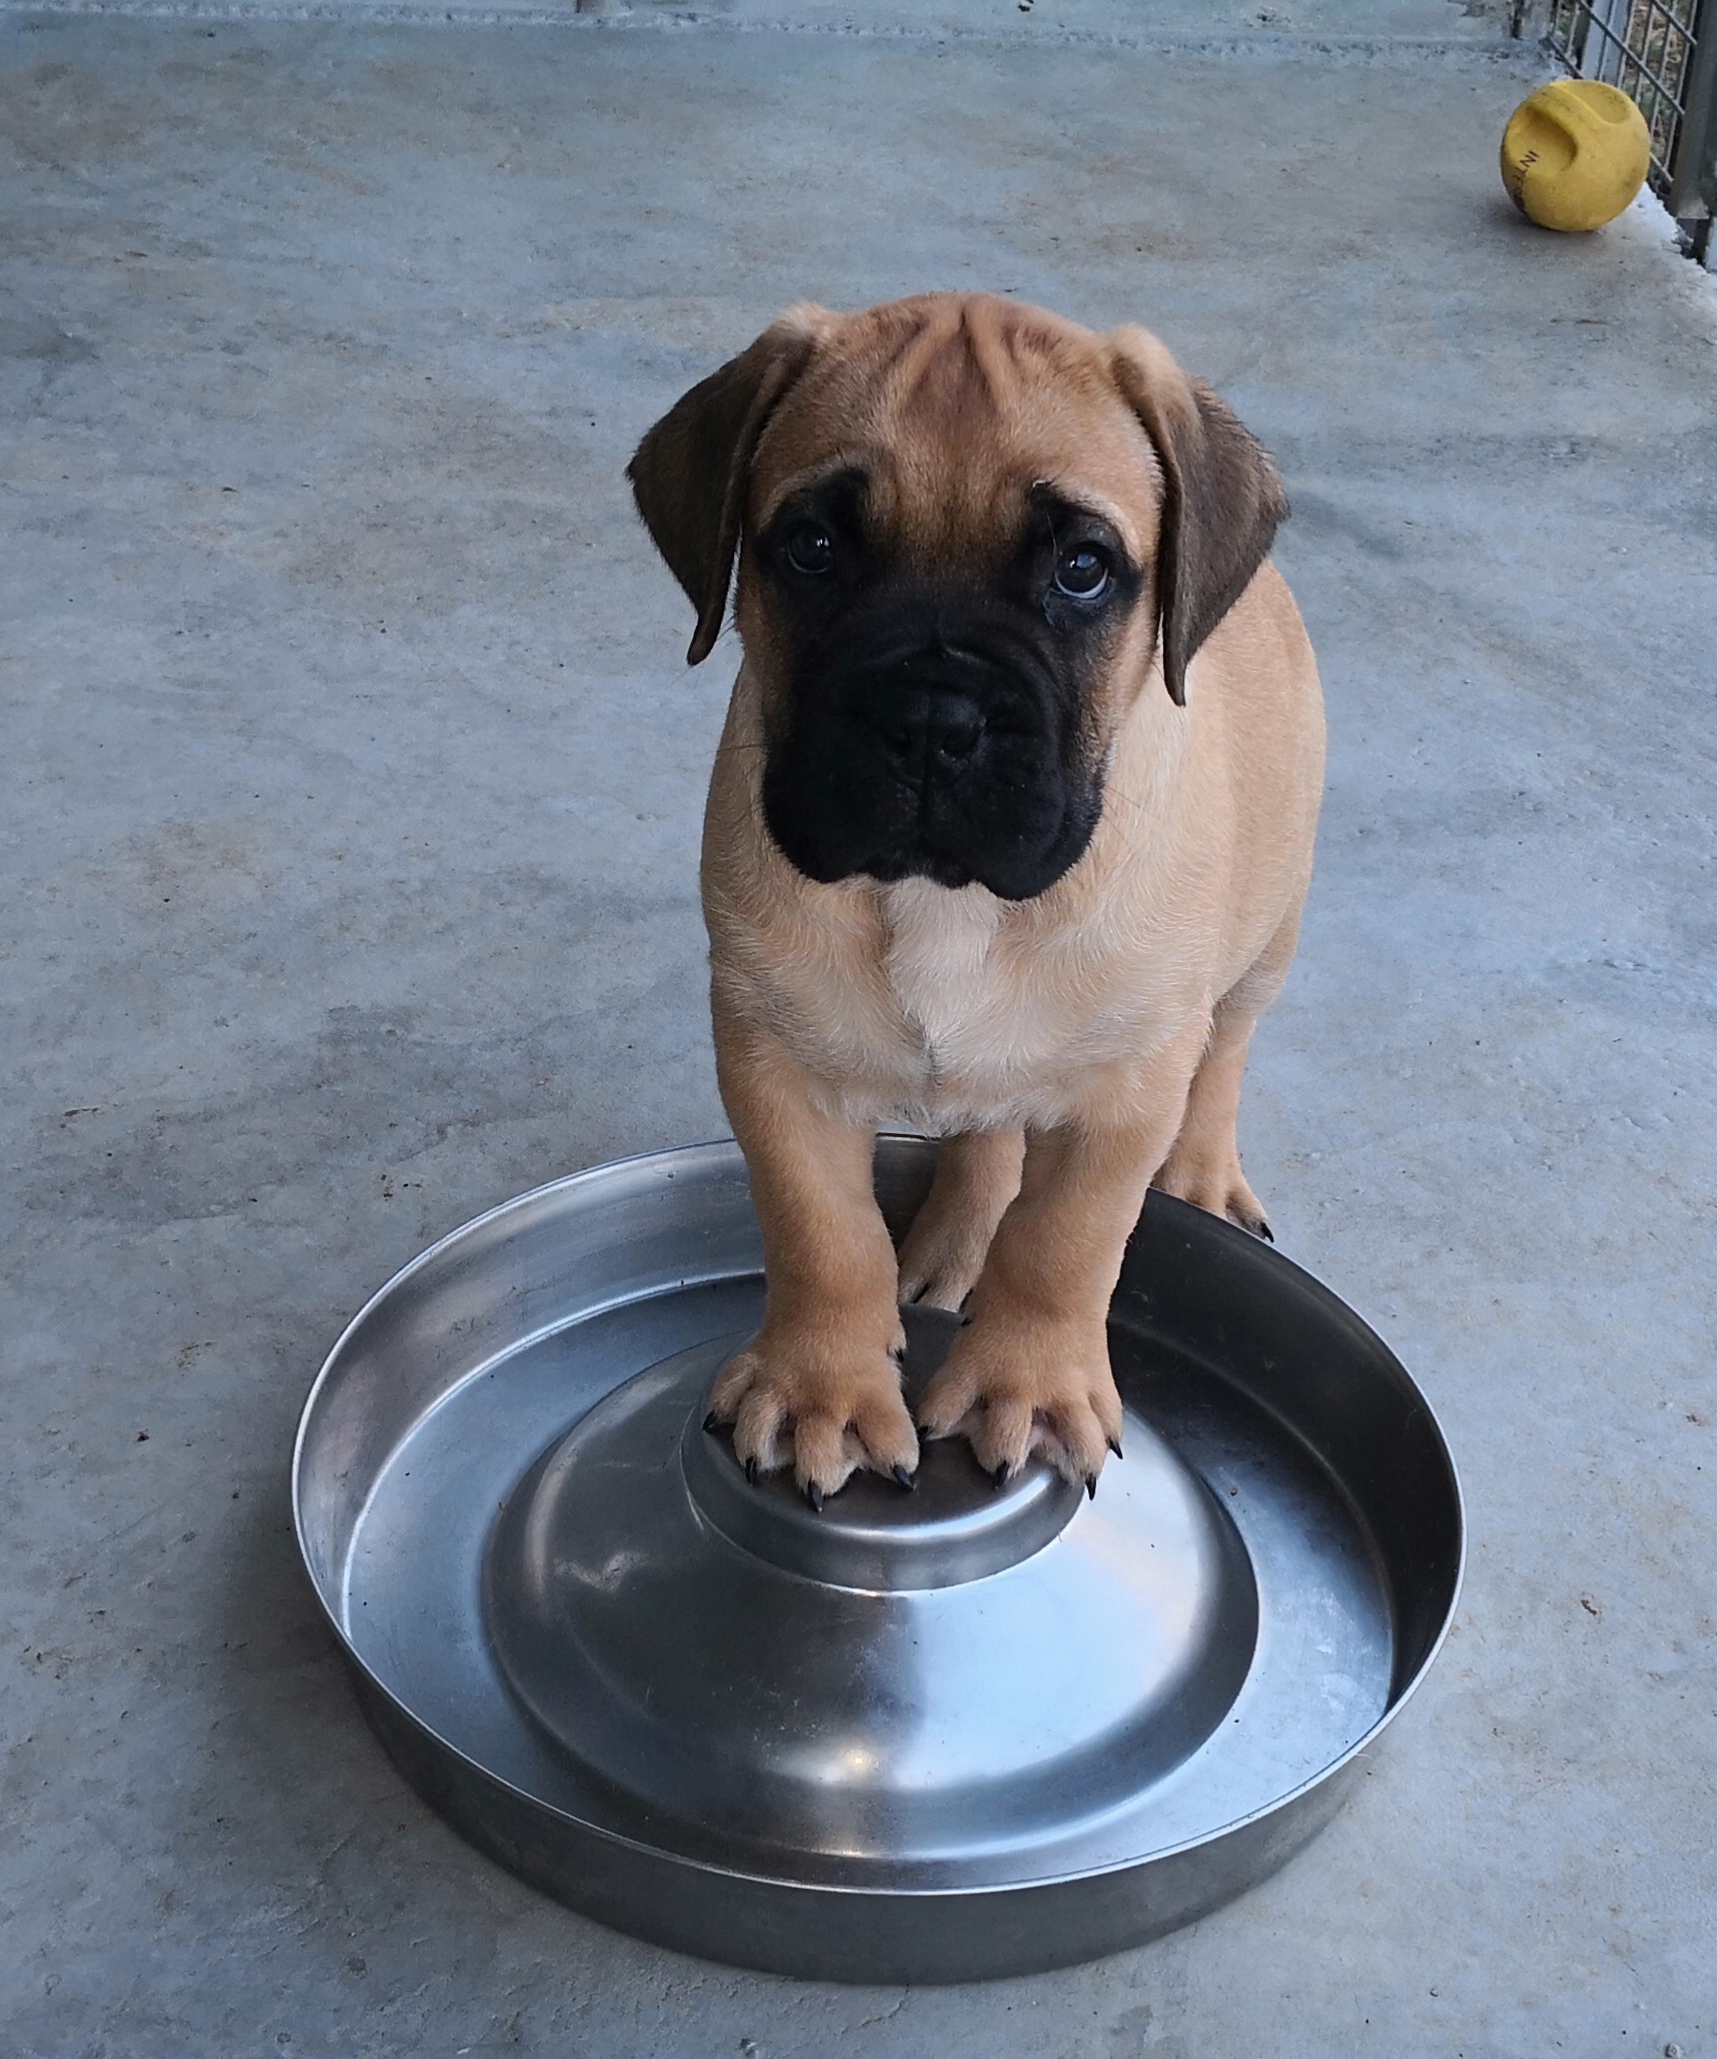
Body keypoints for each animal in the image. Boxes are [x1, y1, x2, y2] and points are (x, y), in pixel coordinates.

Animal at [629, 290, 1325, 1507]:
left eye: (1082, 569)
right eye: (811, 549)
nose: (929, 718)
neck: (943, 899)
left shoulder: (1126, 1090)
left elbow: (1065, 1242)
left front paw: (1029, 1385)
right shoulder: (771, 1056)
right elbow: (821, 1230)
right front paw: (820, 1390)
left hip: (1267, 935)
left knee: (1227, 1048)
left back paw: (1199, 1173)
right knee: (988, 1127)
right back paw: (955, 1237)